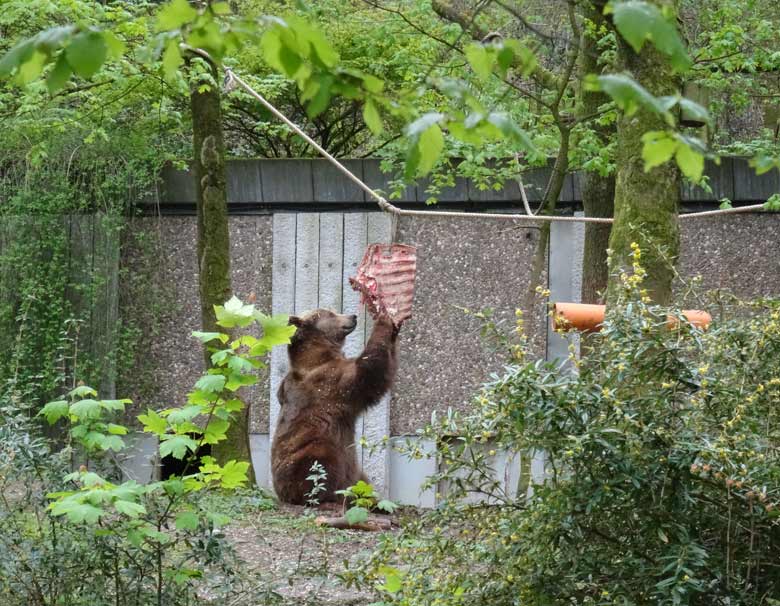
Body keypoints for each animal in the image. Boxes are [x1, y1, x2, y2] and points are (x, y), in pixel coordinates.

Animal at [272, 312, 400, 506]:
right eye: (330, 313)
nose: (353, 316)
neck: (319, 354)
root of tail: (280, 495)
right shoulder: (331, 381)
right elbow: (370, 373)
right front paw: (384, 320)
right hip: (306, 453)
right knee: (320, 465)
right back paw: (328, 497)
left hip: (355, 473)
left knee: (364, 485)